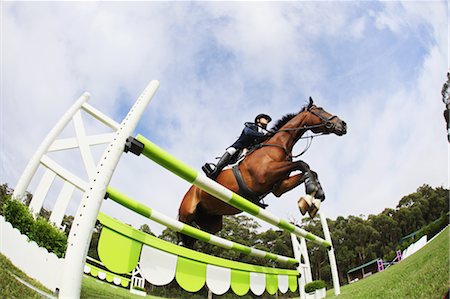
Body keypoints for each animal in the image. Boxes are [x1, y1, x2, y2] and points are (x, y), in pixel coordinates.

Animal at [178, 98, 346, 248]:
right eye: (320, 109)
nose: (343, 125)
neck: (279, 145)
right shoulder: (265, 174)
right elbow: (302, 164)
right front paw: (310, 194)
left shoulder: (279, 187)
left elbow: (310, 171)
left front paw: (313, 201)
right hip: (186, 214)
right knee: (182, 232)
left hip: (210, 223)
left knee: (193, 237)